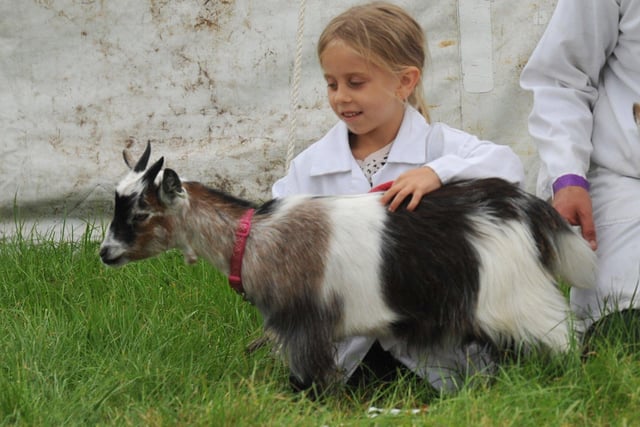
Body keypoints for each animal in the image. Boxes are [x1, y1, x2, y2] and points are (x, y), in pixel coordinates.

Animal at [99, 143, 596, 392]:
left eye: (140, 212)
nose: (105, 252)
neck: (254, 239)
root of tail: (520, 204)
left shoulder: (305, 325)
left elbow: (314, 379)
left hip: (517, 297)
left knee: (566, 338)